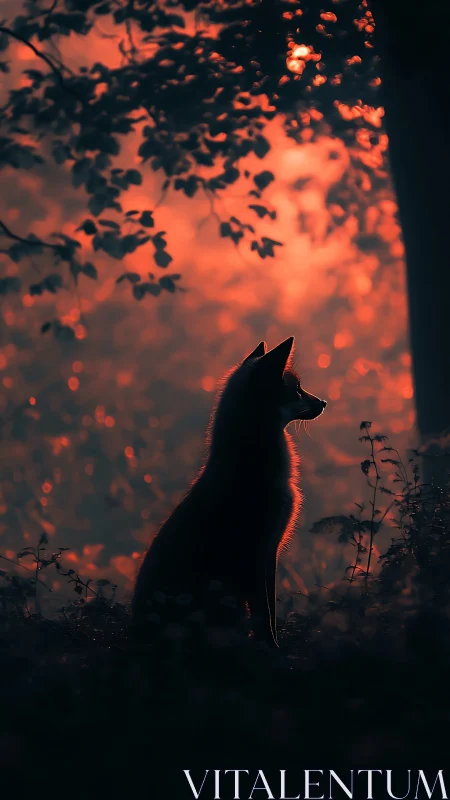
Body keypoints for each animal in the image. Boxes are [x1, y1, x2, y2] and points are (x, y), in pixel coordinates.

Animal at [131, 336, 326, 649]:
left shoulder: (269, 553)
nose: (323, 402)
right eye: (297, 390)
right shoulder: (254, 554)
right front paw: (272, 652)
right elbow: (263, 619)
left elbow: (271, 615)